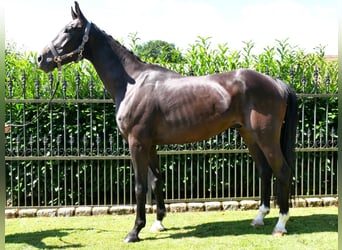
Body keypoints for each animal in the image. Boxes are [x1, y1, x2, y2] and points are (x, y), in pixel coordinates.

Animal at [38, 1, 298, 243]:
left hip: (266, 137)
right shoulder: (151, 144)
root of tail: (276, 82)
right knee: (265, 170)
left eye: (69, 29)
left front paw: (134, 231)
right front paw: (158, 223)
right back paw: (259, 218)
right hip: (249, 135)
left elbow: (140, 187)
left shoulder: (137, 143)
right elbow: (156, 181)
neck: (132, 83)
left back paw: (280, 225)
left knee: (283, 170)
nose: (41, 58)